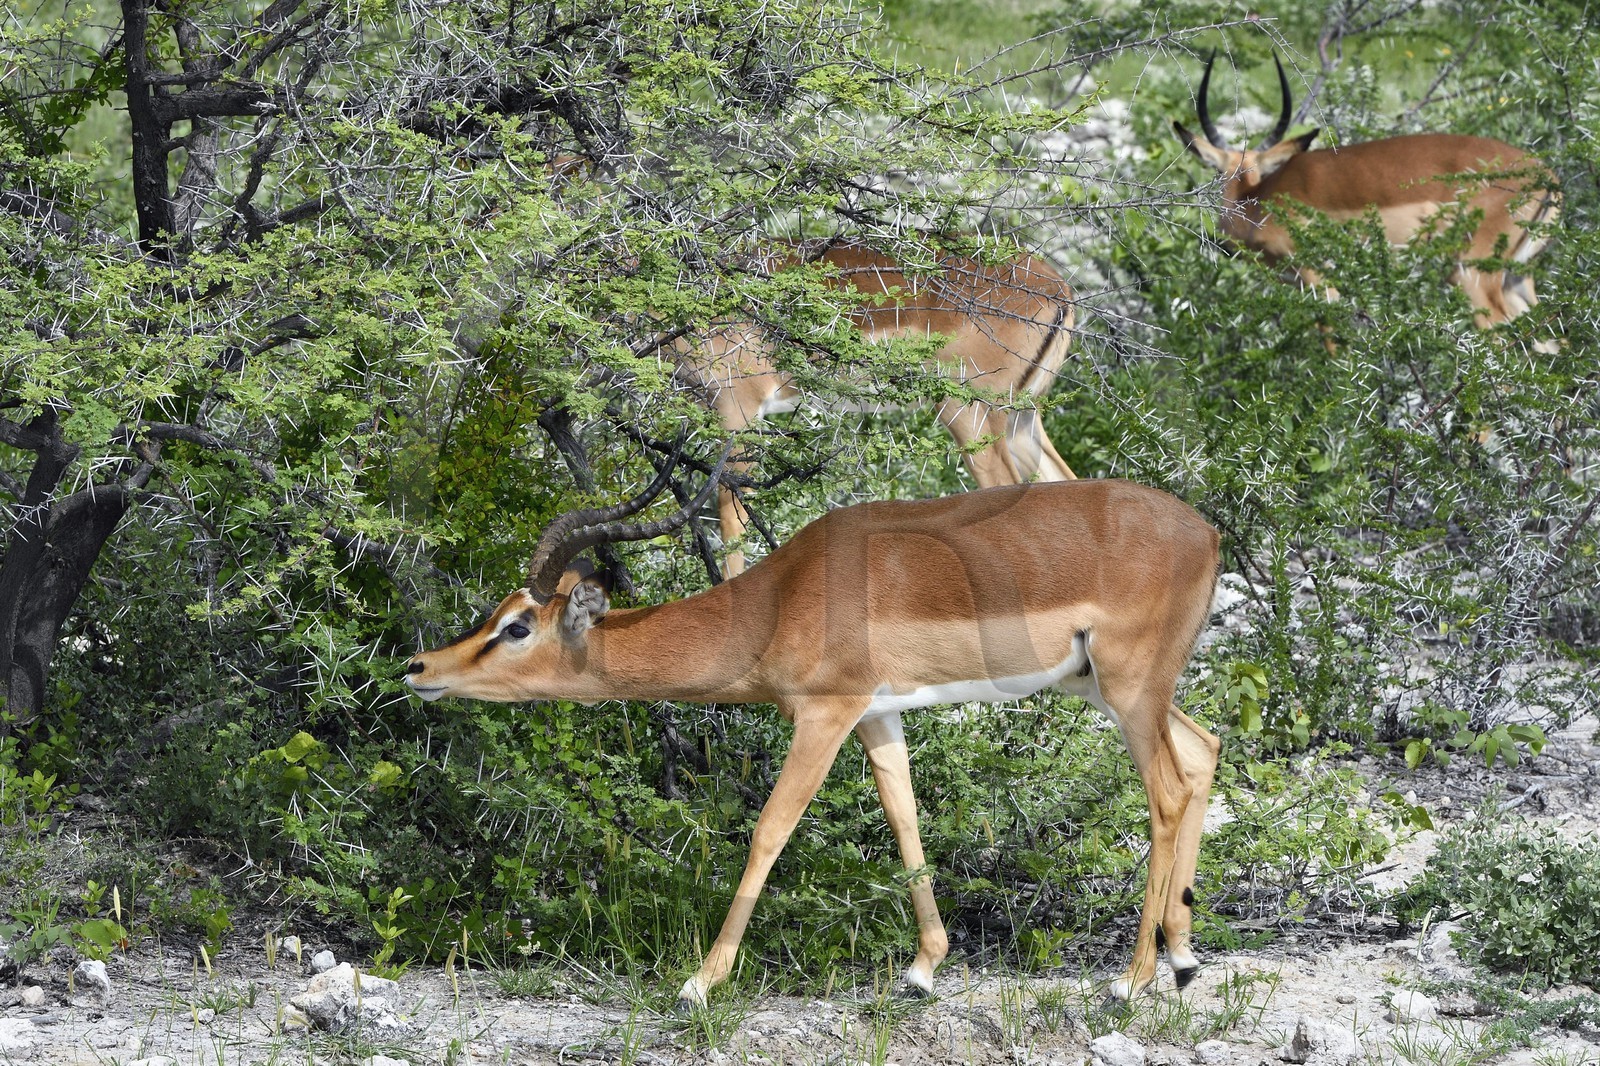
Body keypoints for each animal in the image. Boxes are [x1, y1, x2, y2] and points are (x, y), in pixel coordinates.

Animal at [406, 463, 1222, 1008]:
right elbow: (905, 821)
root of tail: (1207, 532)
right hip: (1108, 687)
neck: (780, 599)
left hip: (1127, 689)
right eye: (495, 612)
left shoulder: (825, 715)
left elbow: (770, 829)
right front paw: (923, 969)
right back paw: (1182, 960)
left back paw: (1130, 981)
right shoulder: (876, 715)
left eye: (518, 626)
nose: (419, 668)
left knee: (1167, 792)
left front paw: (700, 982)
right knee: (1203, 750)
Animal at [1173, 54, 1560, 327]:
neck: (1260, 200)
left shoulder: (1318, 279)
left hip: (1474, 278)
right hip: (1517, 280)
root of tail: (1547, 176)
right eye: (1221, 173)